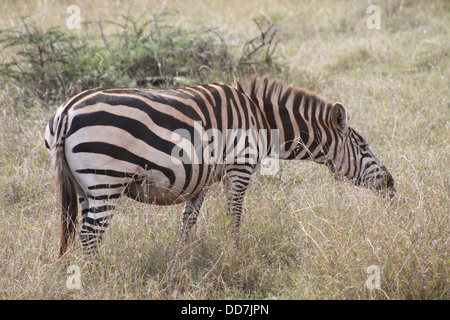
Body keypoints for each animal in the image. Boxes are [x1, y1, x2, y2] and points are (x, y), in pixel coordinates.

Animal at [43, 76, 394, 256]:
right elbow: (235, 218)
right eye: (364, 147)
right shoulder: (239, 167)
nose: (391, 185)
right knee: (90, 235)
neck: (261, 119)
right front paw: (236, 256)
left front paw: (182, 261)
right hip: (107, 180)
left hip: (82, 184)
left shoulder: (201, 177)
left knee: (81, 232)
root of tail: (67, 111)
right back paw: (97, 279)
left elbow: (188, 222)